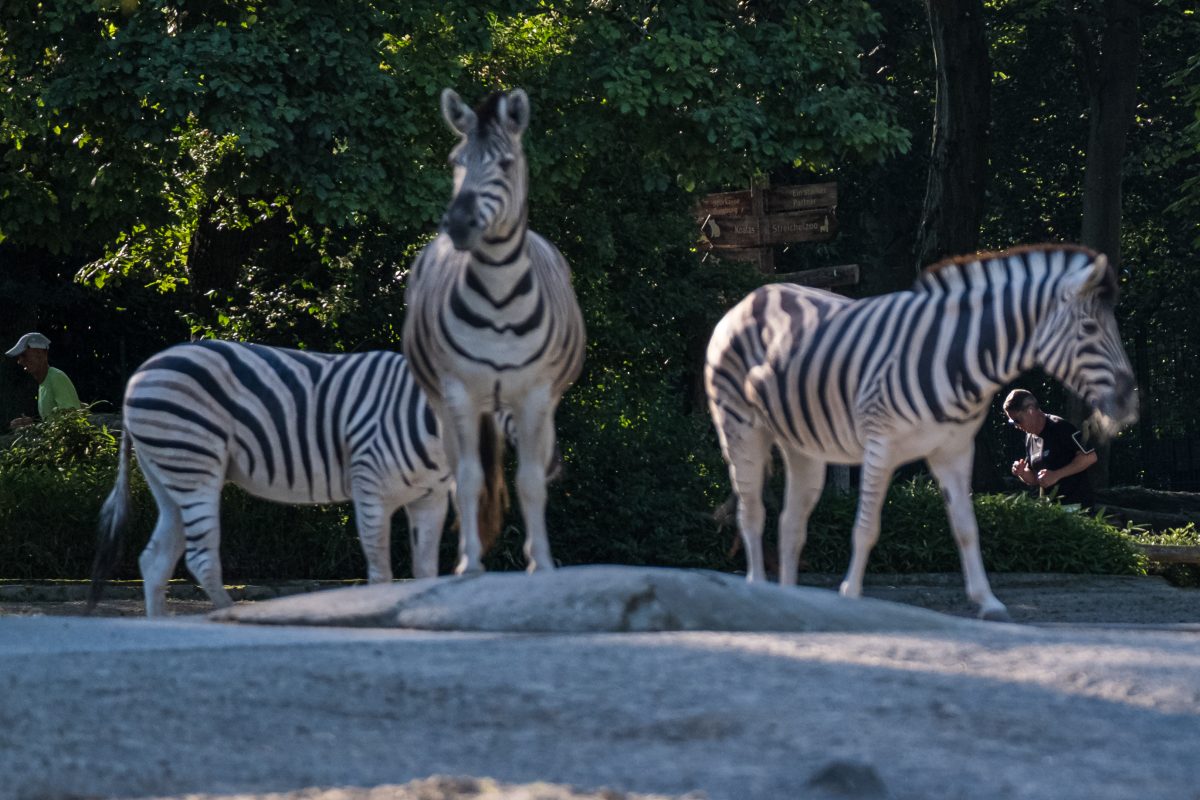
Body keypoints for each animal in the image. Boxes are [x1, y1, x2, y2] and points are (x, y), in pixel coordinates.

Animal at [84, 340, 451, 618]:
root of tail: (140, 373)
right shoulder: (370, 486)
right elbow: (380, 573)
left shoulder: (430, 498)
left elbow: (426, 572)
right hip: (193, 461)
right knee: (201, 558)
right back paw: (231, 616)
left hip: (167, 475)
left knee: (155, 559)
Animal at [403, 87, 585, 575]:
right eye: (455, 160)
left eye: (504, 163)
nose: (458, 224)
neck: (501, 296)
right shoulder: (458, 391)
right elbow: (467, 479)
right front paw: (469, 564)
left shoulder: (536, 395)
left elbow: (531, 482)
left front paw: (542, 563)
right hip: (447, 406)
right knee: (459, 474)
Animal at [705, 244, 1137, 618]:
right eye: (1088, 327)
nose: (1129, 402)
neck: (958, 358)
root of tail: (750, 298)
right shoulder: (880, 445)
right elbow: (866, 528)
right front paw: (850, 595)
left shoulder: (954, 450)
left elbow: (967, 528)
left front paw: (988, 603)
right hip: (740, 427)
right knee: (752, 513)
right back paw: (757, 591)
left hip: (804, 448)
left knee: (790, 524)